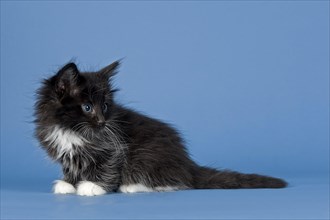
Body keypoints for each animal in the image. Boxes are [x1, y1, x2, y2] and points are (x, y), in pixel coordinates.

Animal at [34, 60, 288, 196]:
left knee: (177, 182)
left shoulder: (112, 147)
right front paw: (68, 184)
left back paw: (134, 186)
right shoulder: (67, 151)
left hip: (148, 154)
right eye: (87, 107)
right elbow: (72, 166)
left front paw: (92, 186)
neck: (71, 130)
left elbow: (108, 166)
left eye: (105, 106)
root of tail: (187, 163)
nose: (103, 122)